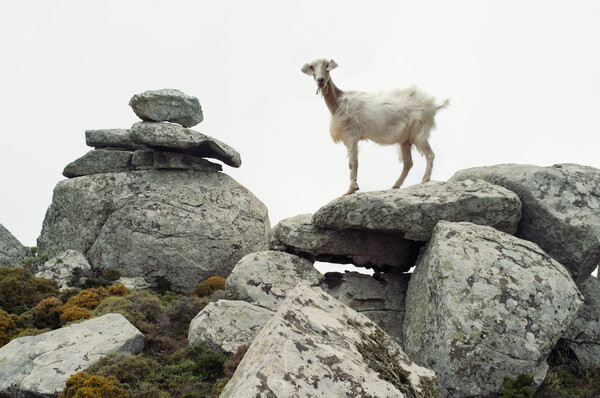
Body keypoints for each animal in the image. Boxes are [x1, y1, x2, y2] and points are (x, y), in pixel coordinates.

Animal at [302, 58, 448, 196]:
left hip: (419, 132)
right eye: (311, 67)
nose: (320, 80)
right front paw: (352, 188)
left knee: (430, 155)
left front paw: (351, 189)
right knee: (408, 163)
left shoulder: (351, 135)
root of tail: (433, 105)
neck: (339, 101)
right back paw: (395, 185)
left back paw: (425, 179)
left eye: (327, 65)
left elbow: (353, 162)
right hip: (405, 139)